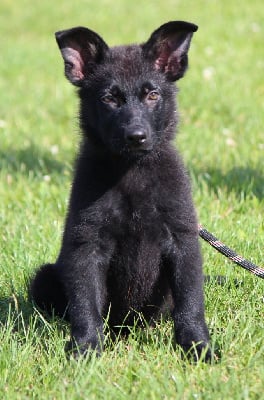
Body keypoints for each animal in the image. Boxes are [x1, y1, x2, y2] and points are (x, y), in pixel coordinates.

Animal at [31, 21, 211, 360]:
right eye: (109, 99)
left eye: (152, 95)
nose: (136, 136)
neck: (132, 171)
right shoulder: (87, 245)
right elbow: (86, 305)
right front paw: (86, 350)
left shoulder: (182, 240)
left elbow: (190, 303)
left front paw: (198, 347)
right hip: (44, 277)